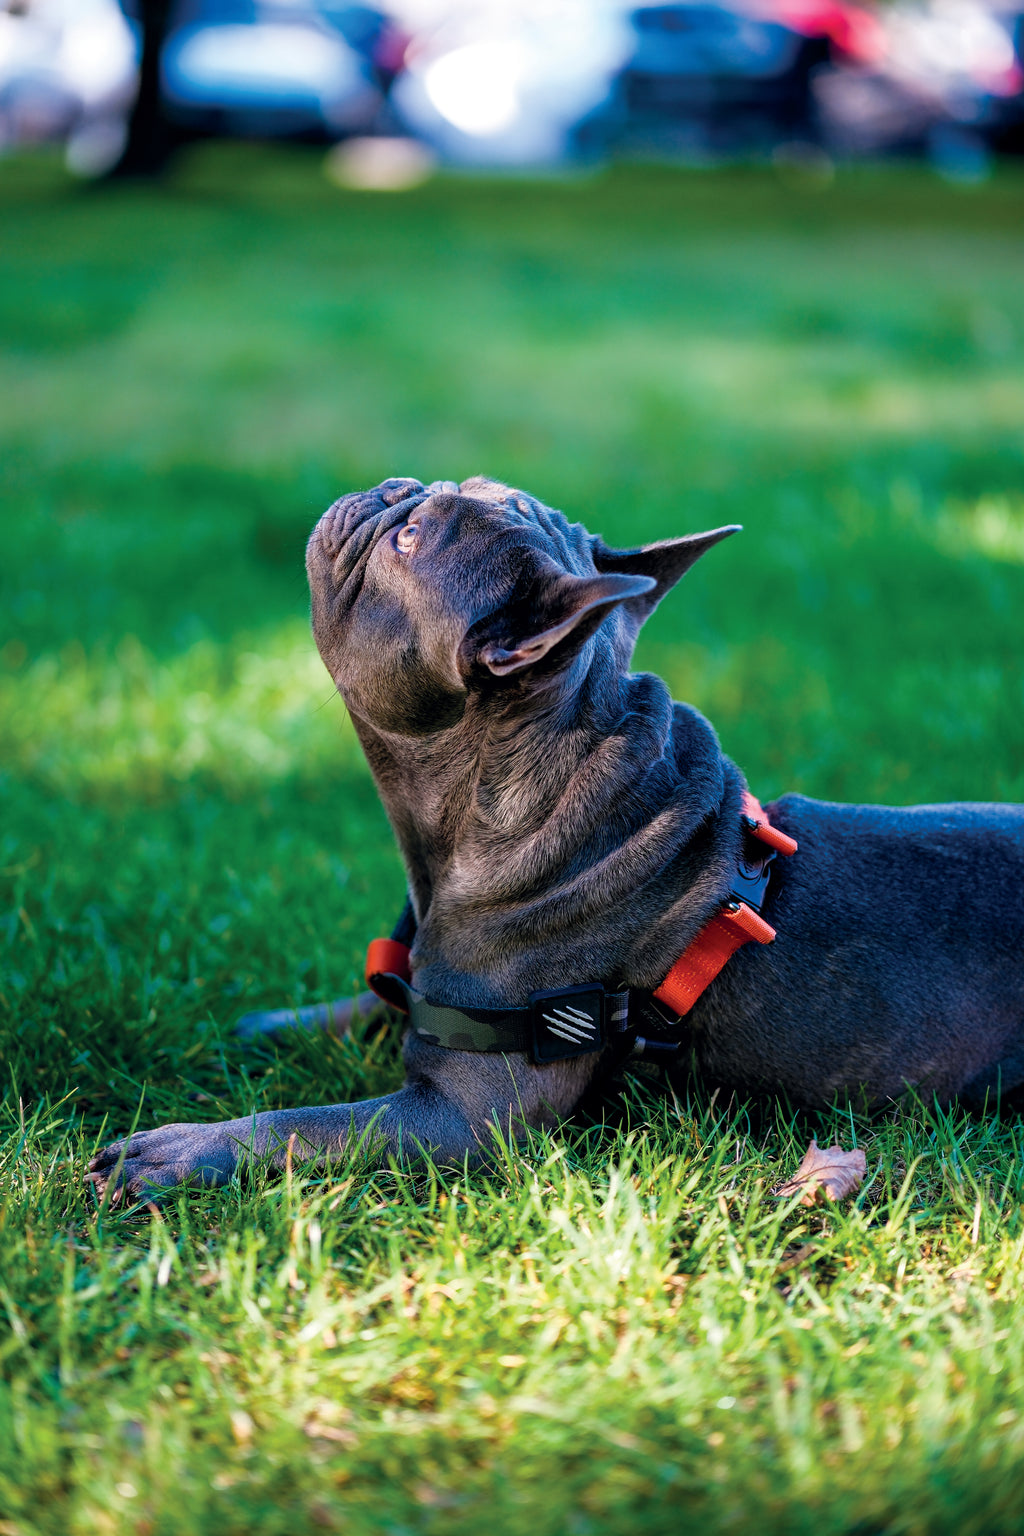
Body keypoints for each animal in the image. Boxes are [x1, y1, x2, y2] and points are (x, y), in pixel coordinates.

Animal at [88, 476, 1024, 1198]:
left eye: (411, 539)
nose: (395, 488)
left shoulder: (459, 1116)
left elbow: (308, 1125)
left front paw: (183, 1147)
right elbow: (369, 998)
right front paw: (271, 1023)